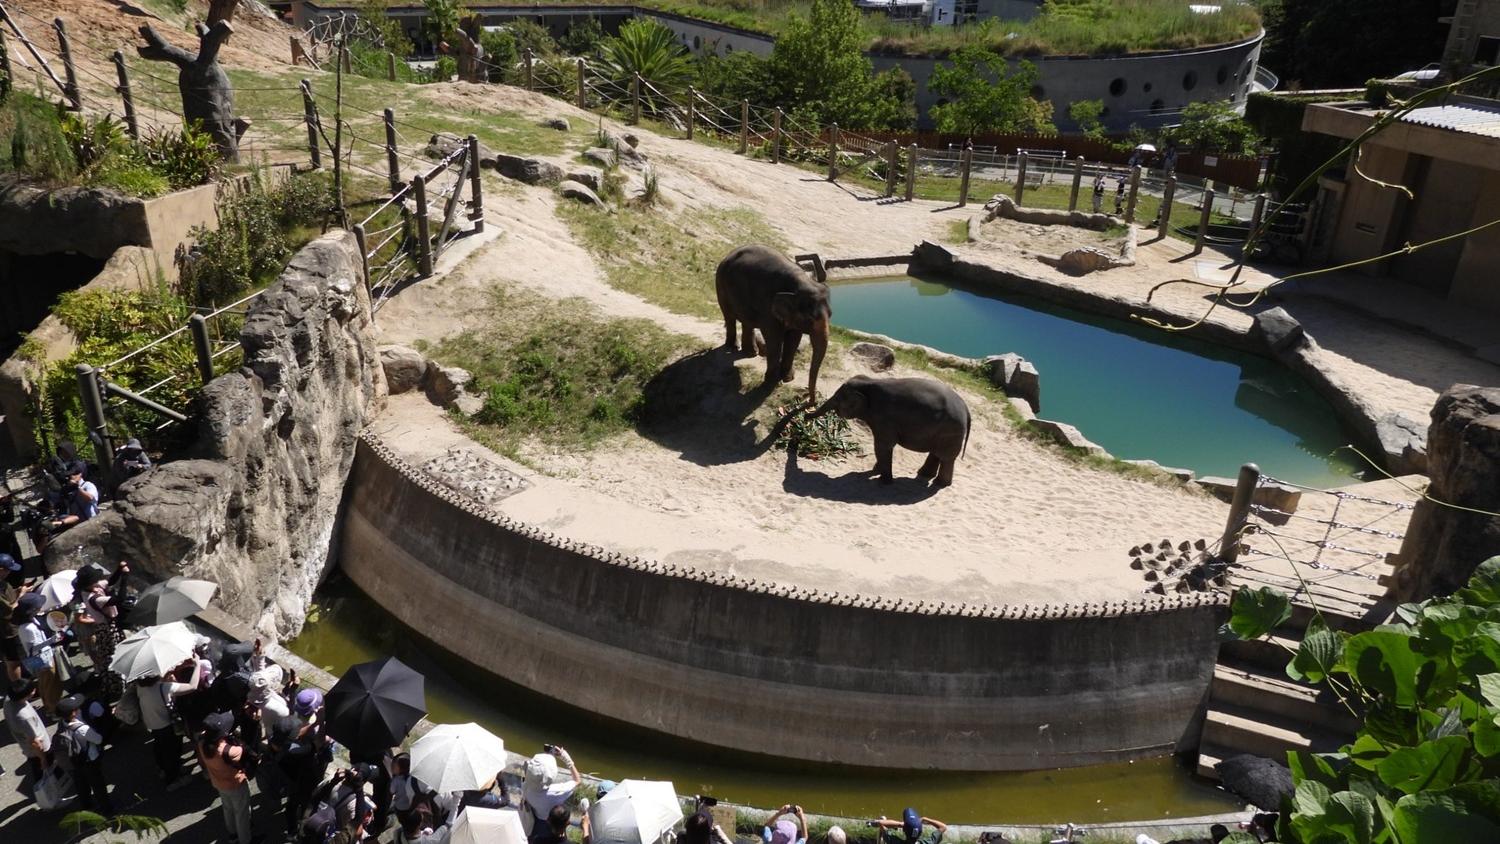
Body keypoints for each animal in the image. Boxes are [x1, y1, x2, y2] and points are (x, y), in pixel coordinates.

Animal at [715, 245, 831, 399]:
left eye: (831, 315)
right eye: (810, 319)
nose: (811, 399)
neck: (800, 283)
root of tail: (728, 255)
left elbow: (794, 339)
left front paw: (787, 378)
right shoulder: (768, 306)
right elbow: (774, 339)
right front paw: (770, 383)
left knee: (747, 321)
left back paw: (750, 353)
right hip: (720, 284)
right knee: (729, 317)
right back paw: (732, 347)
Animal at [807, 375, 971, 488]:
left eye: (836, 398)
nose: (805, 415)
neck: (869, 382)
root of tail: (966, 409)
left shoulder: (884, 418)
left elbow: (882, 446)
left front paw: (883, 481)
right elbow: (881, 447)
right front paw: (875, 473)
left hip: (951, 431)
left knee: (946, 457)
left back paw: (940, 484)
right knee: (936, 453)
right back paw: (925, 475)